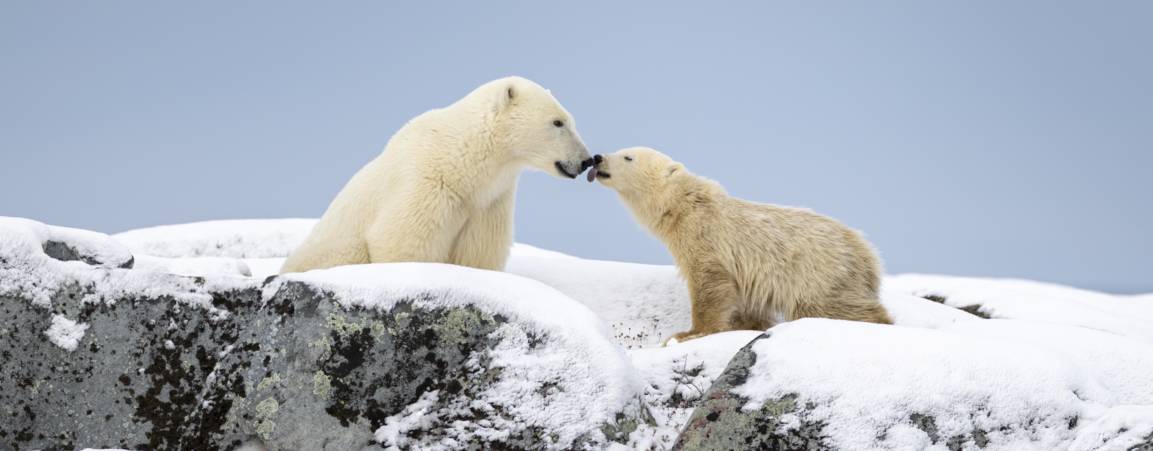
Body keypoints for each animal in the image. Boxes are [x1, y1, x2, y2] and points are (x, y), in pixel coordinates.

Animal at [276, 76, 585, 275]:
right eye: (558, 122)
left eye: (569, 120)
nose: (585, 161)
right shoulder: (427, 184)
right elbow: (400, 244)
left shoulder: (488, 204)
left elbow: (477, 254)